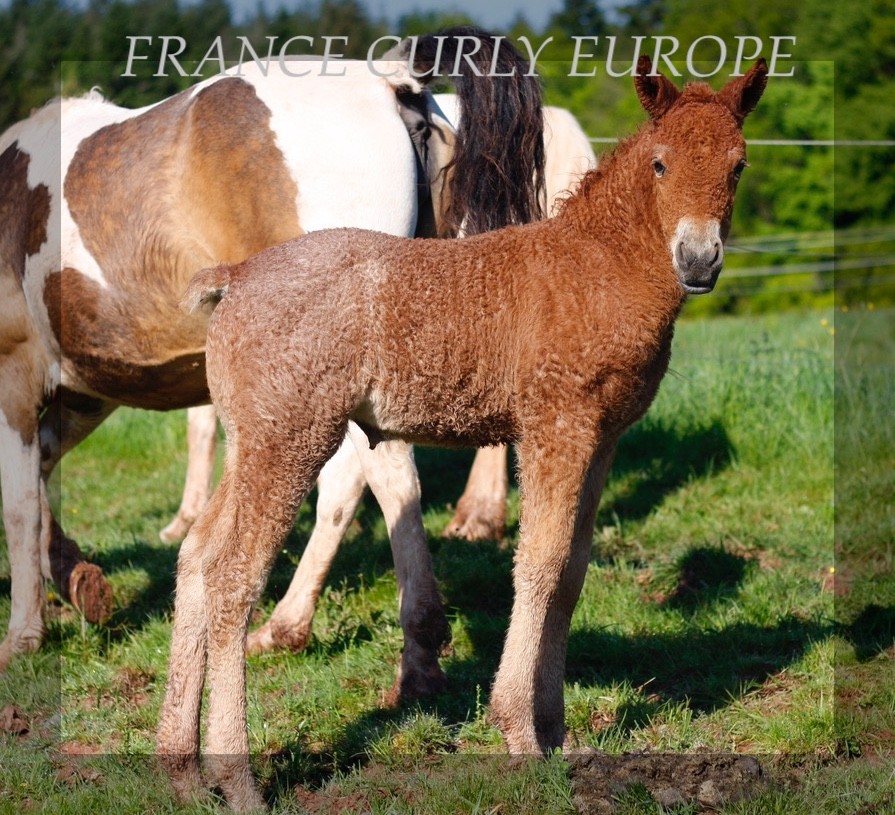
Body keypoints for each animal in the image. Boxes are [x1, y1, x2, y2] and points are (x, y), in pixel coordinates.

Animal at [0, 28, 544, 672]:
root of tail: (385, 78)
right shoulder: (85, 391)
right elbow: (41, 478)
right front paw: (79, 582)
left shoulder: (16, 378)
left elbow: (19, 503)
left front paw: (24, 634)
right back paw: (300, 625)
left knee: (377, 476)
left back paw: (378, 636)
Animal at [164, 55, 768, 808]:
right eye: (660, 164)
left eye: (738, 165)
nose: (698, 260)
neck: (596, 265)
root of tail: (238, 276)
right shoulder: (555, 427)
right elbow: (537, 564)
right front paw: (519, 734)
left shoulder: (601, 438)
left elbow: (571, 569)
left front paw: (558, 732)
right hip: (290, 440)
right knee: (231, 574)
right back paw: (237, 780)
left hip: (253, 440)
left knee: (195, 556)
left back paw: (182, 770)